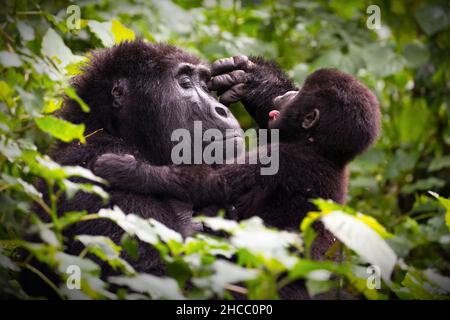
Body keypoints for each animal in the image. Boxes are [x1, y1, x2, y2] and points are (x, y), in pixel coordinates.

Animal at [94, 69, 380, 252]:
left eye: (298, 97)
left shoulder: (280, 157)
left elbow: (210, 184)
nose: (284, 96)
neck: (319, 148)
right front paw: (255, 78)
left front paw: (124, 170)